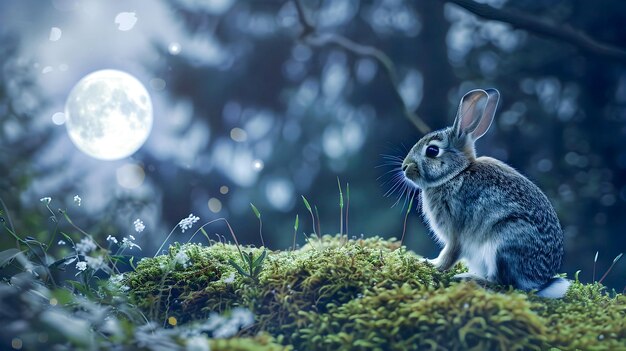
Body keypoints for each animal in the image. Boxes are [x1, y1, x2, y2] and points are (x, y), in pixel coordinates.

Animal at [402, 89, 568, 298]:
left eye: (432, 150)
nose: (404, 167)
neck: (457, 173)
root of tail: (539, 282)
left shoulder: (456, 231)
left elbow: (450, 254)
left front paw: (430, 264)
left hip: (504, 241)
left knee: (504, 285)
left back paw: (469, 279)